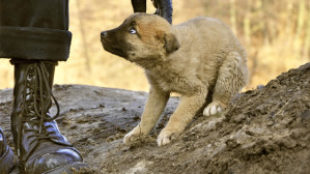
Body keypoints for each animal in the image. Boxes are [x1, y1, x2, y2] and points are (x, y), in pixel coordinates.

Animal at [100, 13, 248, 146]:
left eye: (132, 30)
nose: (102, 33)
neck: (162, 61)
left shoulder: (195, 90)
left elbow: (178, 115)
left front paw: (168, 133)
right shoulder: (157, 92)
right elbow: (148, 115)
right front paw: (137, 133)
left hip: (231, 62)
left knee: (223, 91)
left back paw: (215, 105)